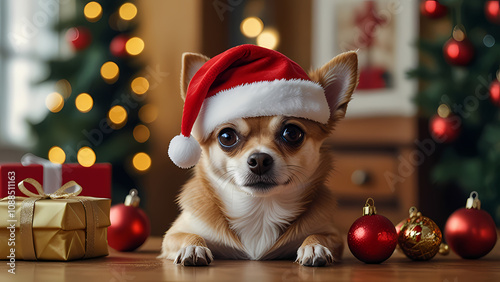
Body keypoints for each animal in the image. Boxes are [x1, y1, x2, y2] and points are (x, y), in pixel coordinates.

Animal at [158, 46, 358, 266]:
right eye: (226, 136)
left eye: (292, 133)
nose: (260, 160)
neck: (260, 210)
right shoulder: (173, 234)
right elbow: (186, 235)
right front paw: (193, 247)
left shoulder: (332, 234)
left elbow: (319, 235)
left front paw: (314, 246)